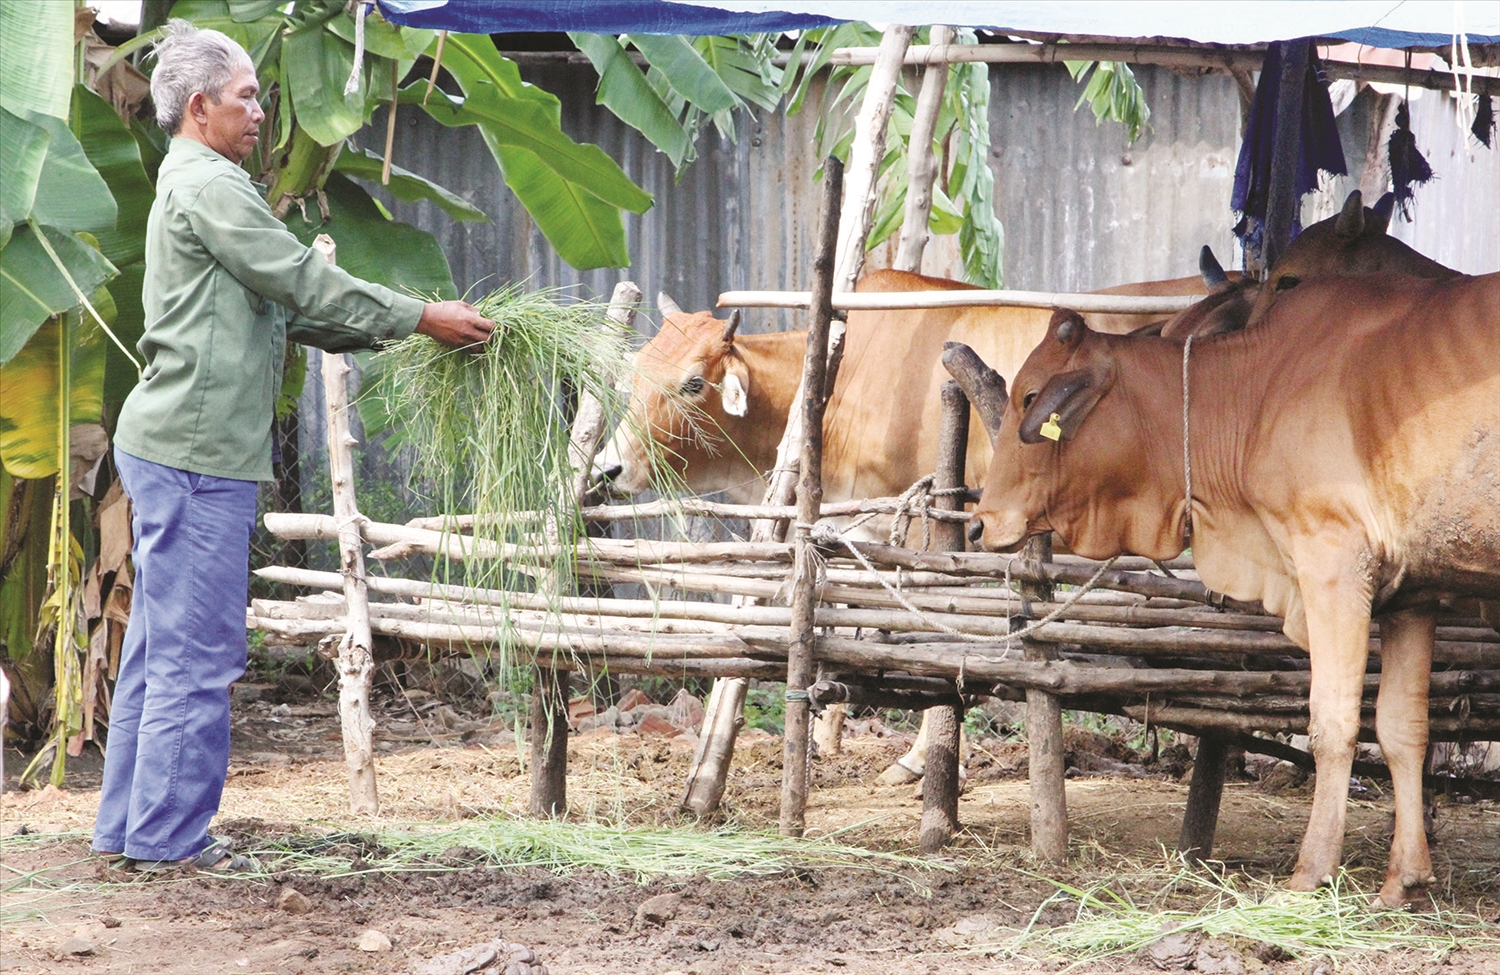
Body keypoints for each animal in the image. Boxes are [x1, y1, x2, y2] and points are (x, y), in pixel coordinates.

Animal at [966, 267, 1494, 906]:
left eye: (1029, 397)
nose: (980, 522)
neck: (1256, 392)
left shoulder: (1334, 563)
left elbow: (1334, 721)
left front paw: (1311, 871)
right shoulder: (1412, 596)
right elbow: (1402, 729)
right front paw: (1405, 880)